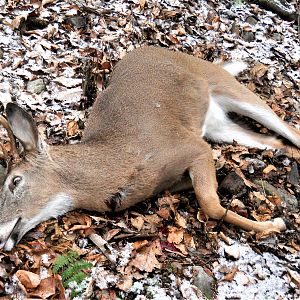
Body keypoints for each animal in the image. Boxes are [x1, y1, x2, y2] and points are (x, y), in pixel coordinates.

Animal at [0, 48, 300, 251]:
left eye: (15, 180)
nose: (1, 232)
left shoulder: (191, 145)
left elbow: (209, 203)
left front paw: (276, 225)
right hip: (221, 128)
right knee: (276, 141)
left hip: (225, 84)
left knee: (289, 129)